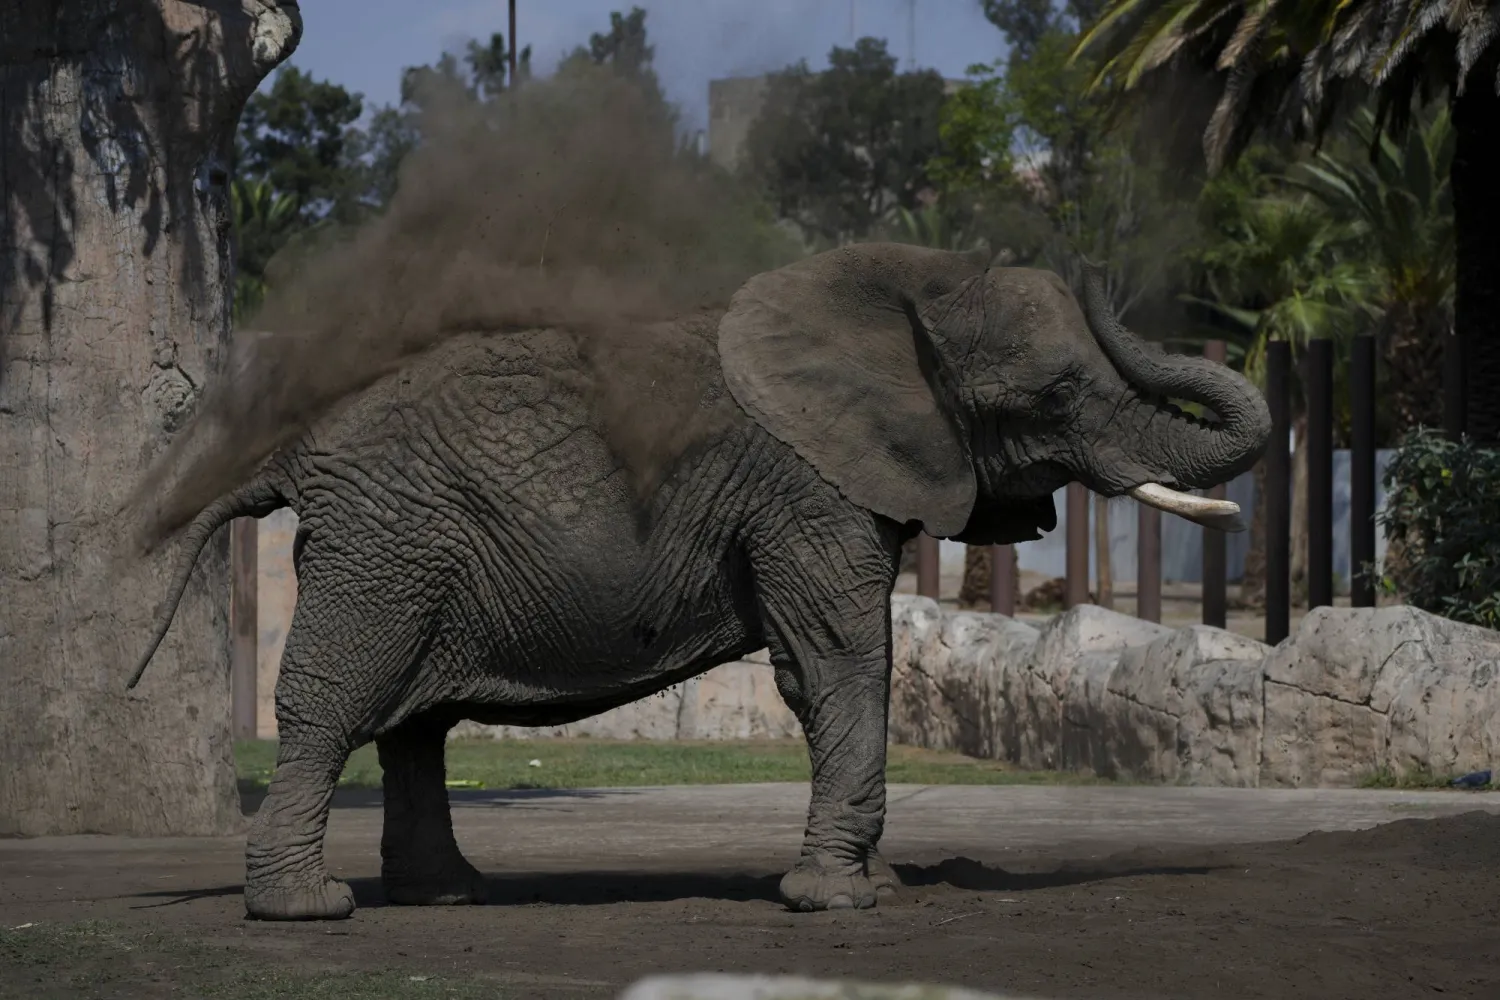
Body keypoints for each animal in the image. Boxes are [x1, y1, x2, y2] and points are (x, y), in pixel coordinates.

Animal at [128, 242, 1269, 921]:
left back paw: (448, 896)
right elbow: (839, 658)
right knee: (337, 698)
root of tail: (293, 448)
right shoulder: (804, 488)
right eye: (1058, 394)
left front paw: (876, 883)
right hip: (386, 544)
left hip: (407, 549)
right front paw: (837, 900)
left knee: (415, 724)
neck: (906, 293)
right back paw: (310, 908)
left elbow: (843, 661)